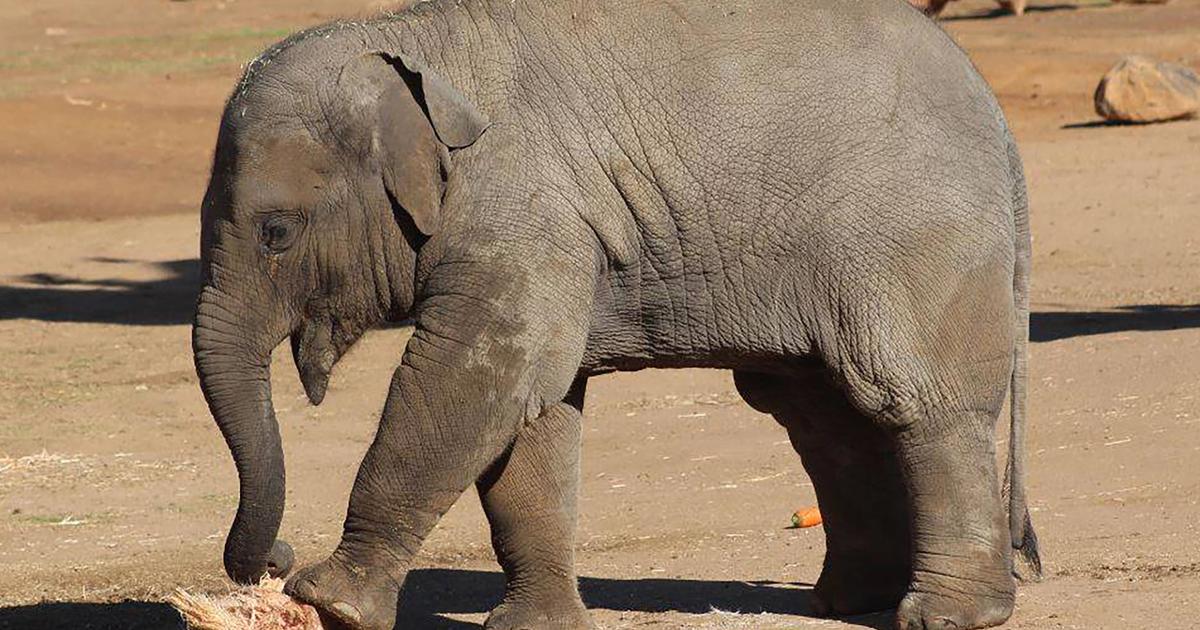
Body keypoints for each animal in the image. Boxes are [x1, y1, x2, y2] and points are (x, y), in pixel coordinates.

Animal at [192, 1, 1036, 628]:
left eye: (276, 233)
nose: (274, 559)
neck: (409, 42)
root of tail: (1000, 123)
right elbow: (531, 416)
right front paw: (534, 627)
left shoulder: (528, 210)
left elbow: (471, 381)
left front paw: (330, 603)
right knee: (820, 413)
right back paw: (847, 602)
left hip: (916, 240)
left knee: (916, 401)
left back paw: (944, 615)